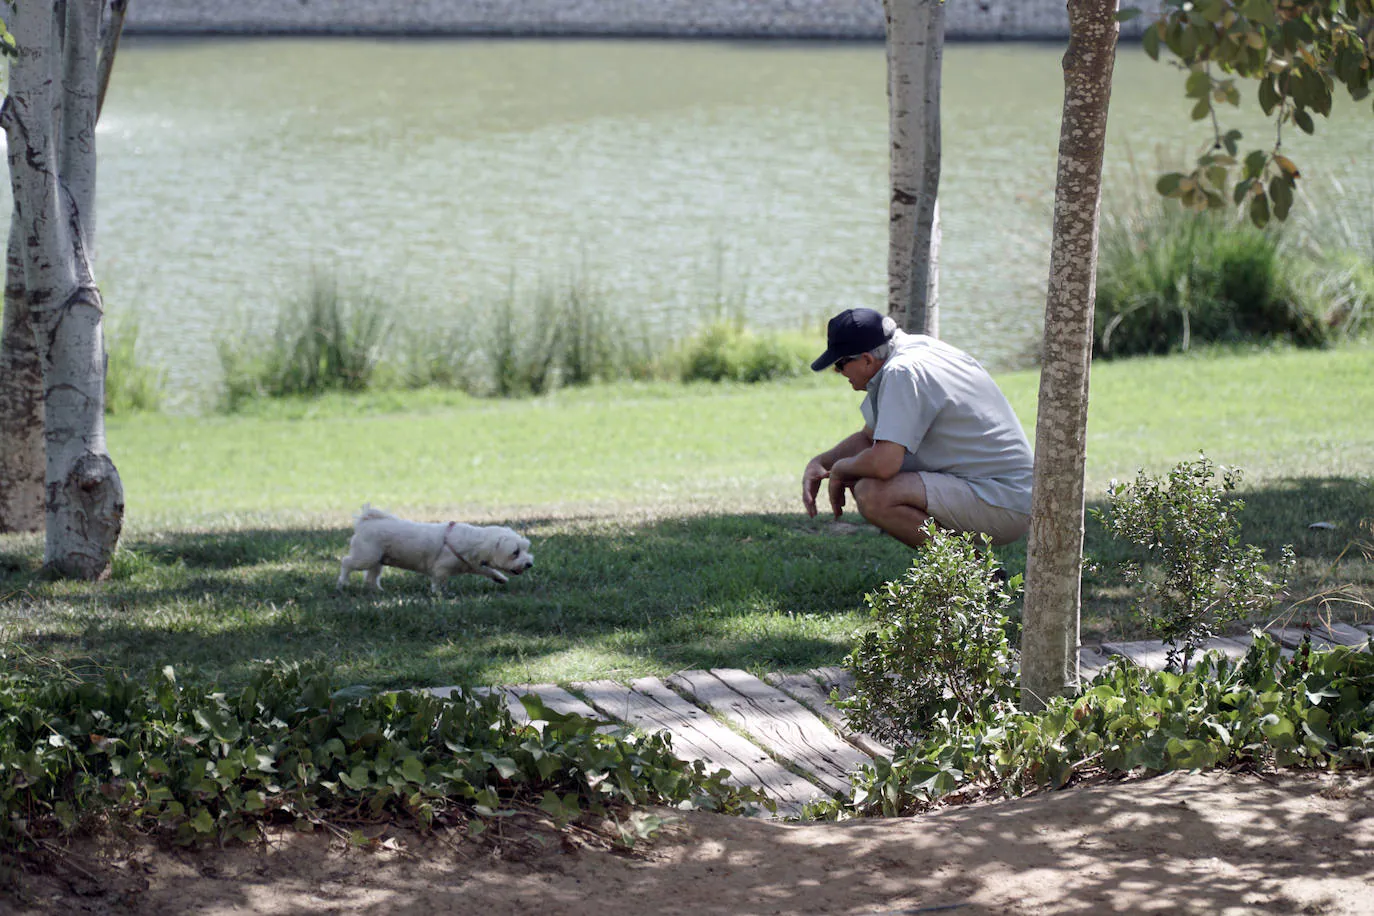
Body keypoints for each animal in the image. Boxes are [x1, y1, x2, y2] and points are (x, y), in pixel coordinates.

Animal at [338, 505, 535, 598]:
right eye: (515, 552)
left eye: (526, 548)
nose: (529, 564)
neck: (474, 542)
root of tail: (365, 522)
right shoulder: (441, 568)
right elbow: (438, 582)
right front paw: (440, 594)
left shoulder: (473, 564)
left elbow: (487, 570)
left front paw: (499, 578)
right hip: (366, 556)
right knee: (346, 562)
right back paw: (343, 583)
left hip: (378, 560)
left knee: (371, 577)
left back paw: (377, 591)